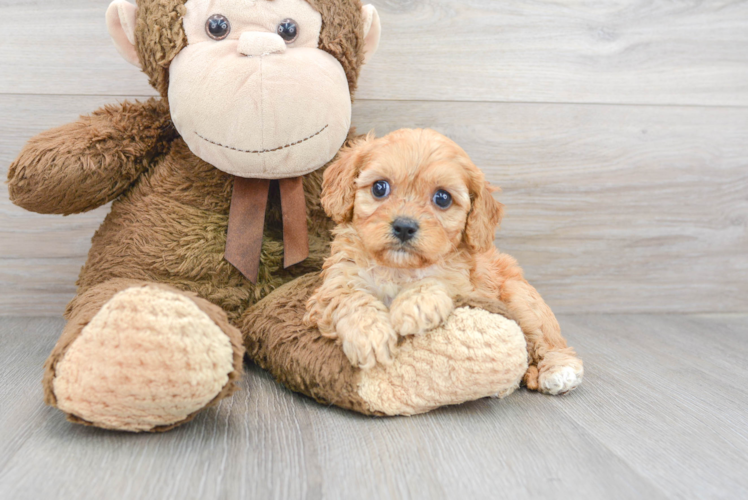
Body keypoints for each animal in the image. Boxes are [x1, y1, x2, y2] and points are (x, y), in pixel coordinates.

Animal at [304, 131, 584, 396]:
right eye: (379, 188)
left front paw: (415, 306)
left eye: (442, 198)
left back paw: (559, 370)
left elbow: (437, 280)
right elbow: (351, 298)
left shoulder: (465, 284)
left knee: (547, 342)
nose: (404, 226)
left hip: (521, 300)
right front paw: (370, 336)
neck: (398, 269)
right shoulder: (337, 280)